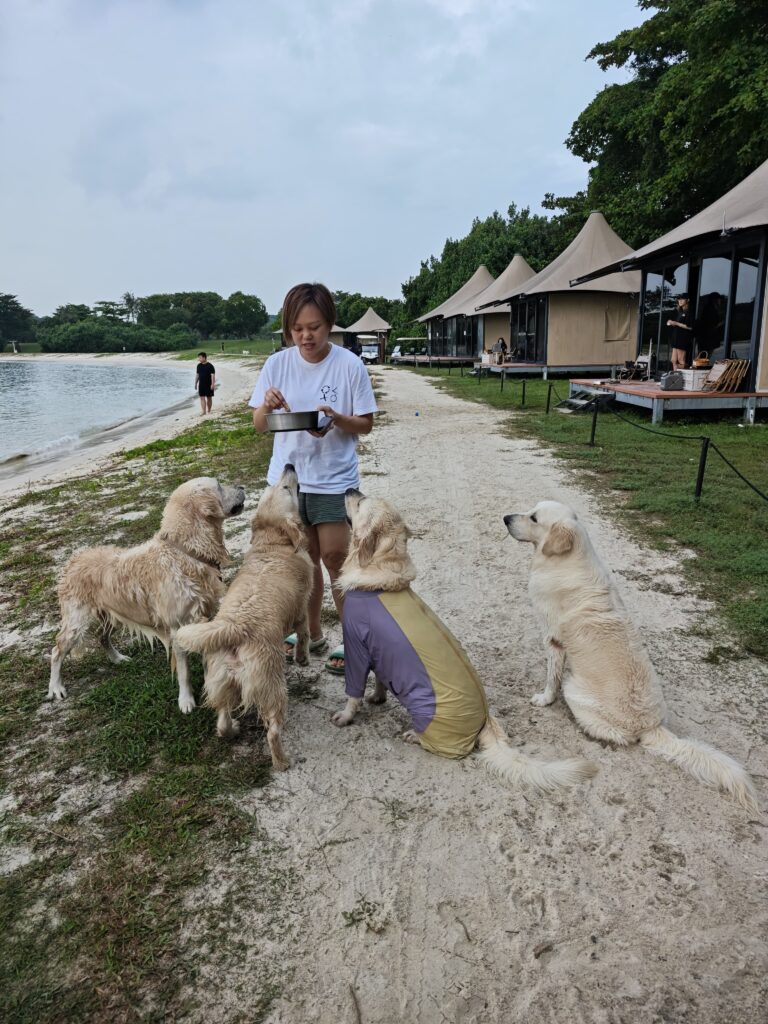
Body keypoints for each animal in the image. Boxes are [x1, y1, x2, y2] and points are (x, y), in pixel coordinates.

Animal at [48, 477, 245, 713]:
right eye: (218, 485)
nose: (242, 487)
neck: (185, 551)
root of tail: (74, 558)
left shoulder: (205, 618)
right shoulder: (177, 627)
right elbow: (184, 672)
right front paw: (186, 700)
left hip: (114, 612)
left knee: (101, 636)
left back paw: (117, 658)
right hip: (76, 621)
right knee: (57, 651)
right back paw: (55, 687)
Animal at [174, 465, 312, 771]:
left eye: (278, 486)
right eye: (285, 488)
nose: (289, 466)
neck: (273, 542)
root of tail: (234, 628)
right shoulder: (302, 608)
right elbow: (304, 634)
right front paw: (302, 657)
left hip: (220, 681)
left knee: (222, 720)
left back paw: (233, 729)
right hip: (272, 686)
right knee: (272, 731)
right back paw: (282, 761)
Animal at [331, 489, 597, 794]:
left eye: (361, 501)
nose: (350, 490)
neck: (380, 572)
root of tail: (485, 721)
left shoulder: (356, 647)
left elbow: (353, 692)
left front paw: (345, 716)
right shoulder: (376, 650)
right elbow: (379, 679)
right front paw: (377, 697)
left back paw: (413, 735)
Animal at [505, 500, 758, 812]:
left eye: (534, 518)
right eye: (531, 511)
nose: (505, 518)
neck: (567, 561)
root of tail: (651, 726)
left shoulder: (552, 640)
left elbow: (551, 678)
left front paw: (543, 699)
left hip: (573, 688)